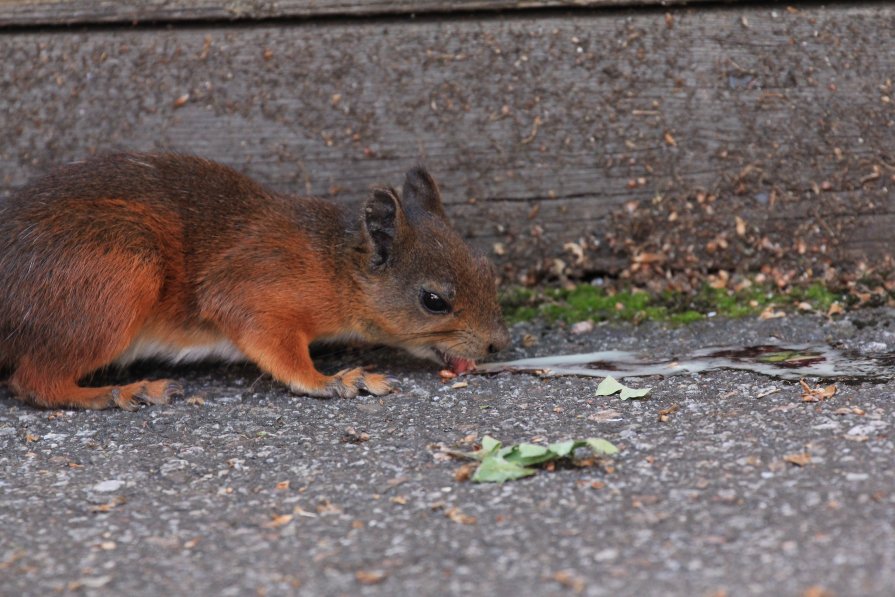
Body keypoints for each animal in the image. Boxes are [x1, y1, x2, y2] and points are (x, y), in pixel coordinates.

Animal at [0, 152, 512, 410]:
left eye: (487, 268)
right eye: (433, 300)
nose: (498, 345)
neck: (332, 264)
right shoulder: (255, 286)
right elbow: (276, 347)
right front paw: (333, 380)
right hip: (115, 276)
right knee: (35, 382)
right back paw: (123, 392)